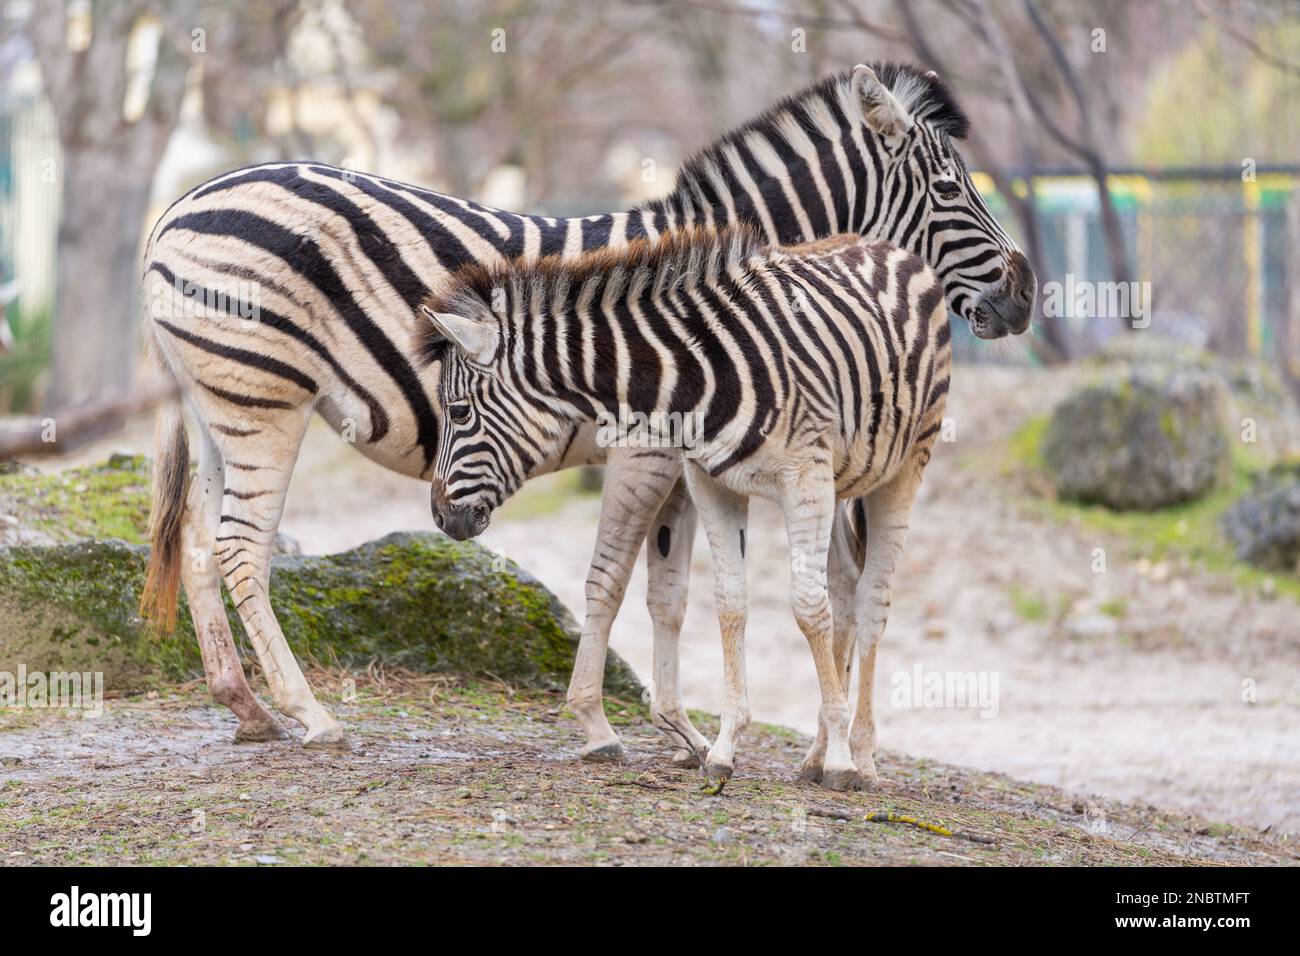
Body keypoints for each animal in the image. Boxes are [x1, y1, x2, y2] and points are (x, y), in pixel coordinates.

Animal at [419, 223, 959, 789]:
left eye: (458, 411)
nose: (440, 516)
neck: (698, 376)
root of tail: (884, 245)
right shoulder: (712, 482)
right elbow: (731, 604)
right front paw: (725, 746)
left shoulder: (801, 477)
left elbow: (810, 609)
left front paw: (840, 759)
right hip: (837, 485)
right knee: (846, 588)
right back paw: (814, 756)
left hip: (905, 466)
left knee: (872, 601)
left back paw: (861, 755)